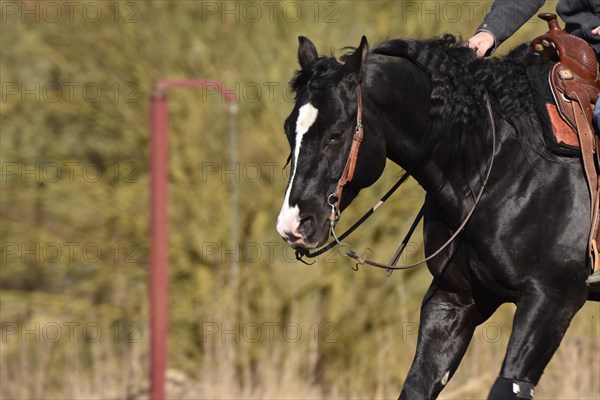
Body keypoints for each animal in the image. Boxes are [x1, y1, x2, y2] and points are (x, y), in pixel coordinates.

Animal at [278, 35, 596, 400]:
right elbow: (418, 384)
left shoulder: (552, 300)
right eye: (289, 130)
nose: (292, 225)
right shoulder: (455, 299)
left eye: (336, 133)